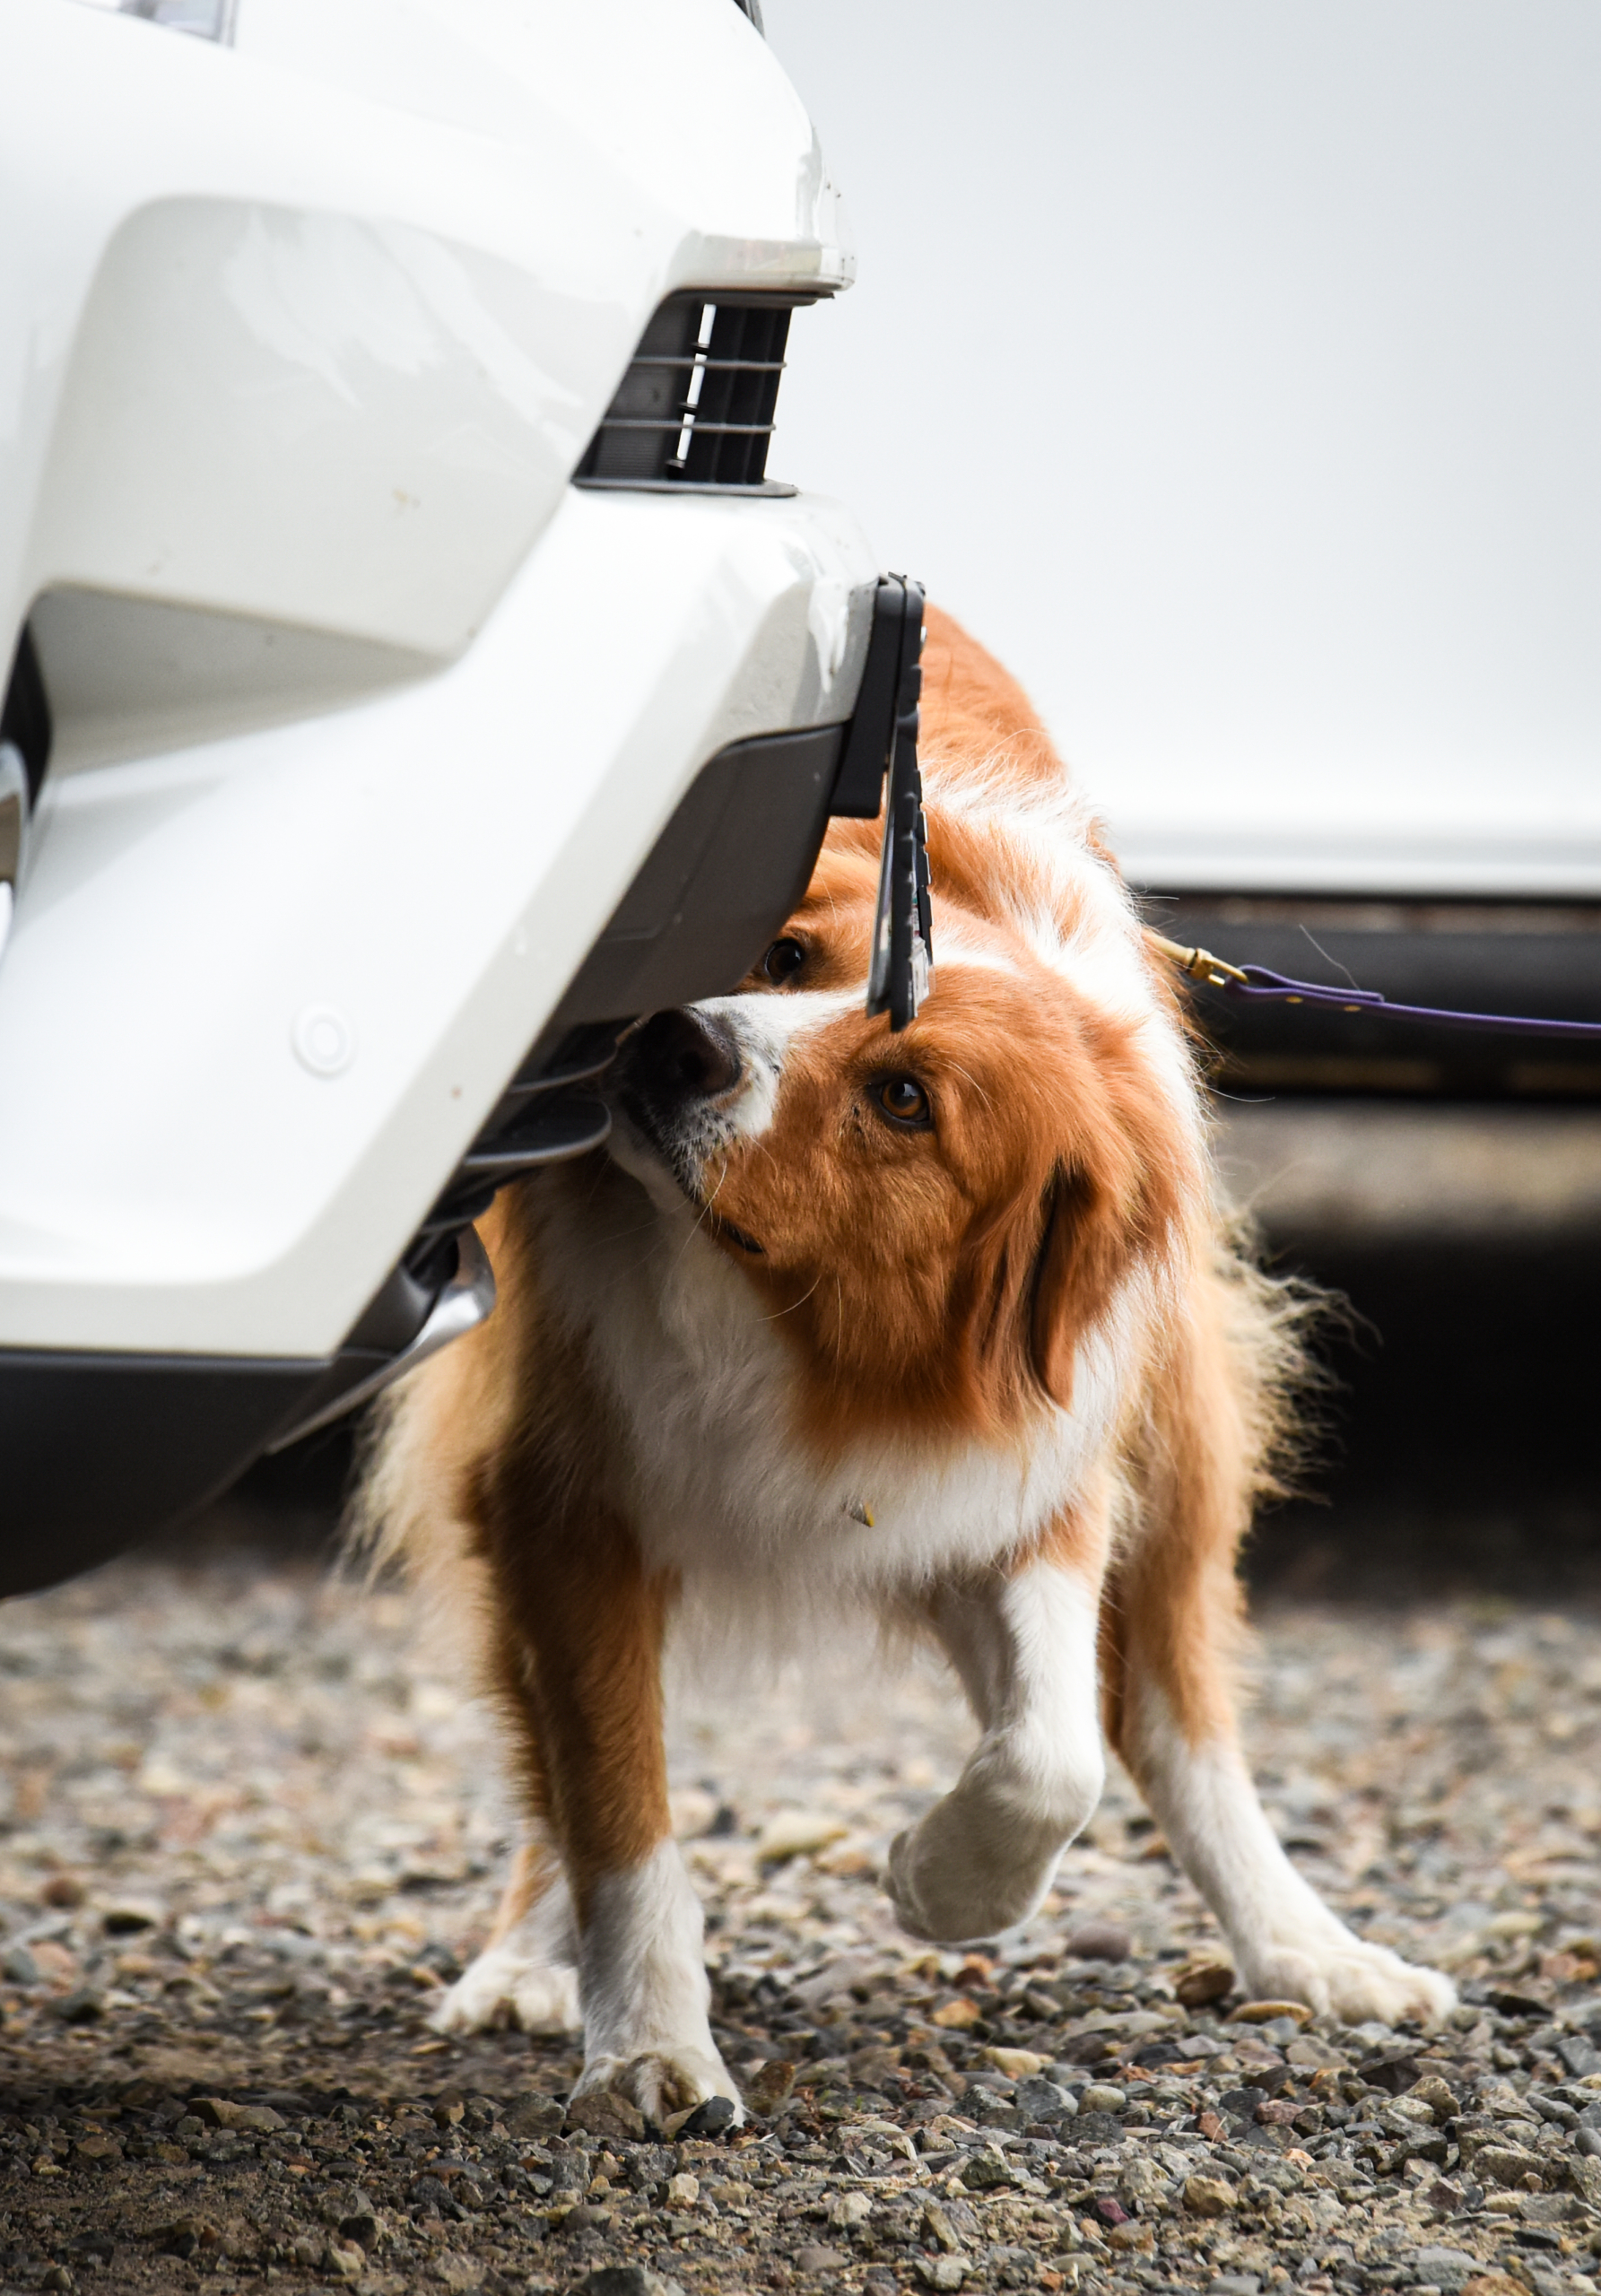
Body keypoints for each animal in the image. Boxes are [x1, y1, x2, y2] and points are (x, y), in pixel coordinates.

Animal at [355, 605, 1451, 2112]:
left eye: (904, 1099)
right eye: (779, 959)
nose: (677, 1040)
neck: (790, 1323)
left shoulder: (1016, 1466)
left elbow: (1056, 1751)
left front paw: (947, 1889)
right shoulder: (557, 1495)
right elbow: (615, 1799)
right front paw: (648, 2043)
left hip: (1174, 1431)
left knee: (1177, 1718)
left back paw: (1303, 1950)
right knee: (555, 1761)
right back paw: (531, 1955)